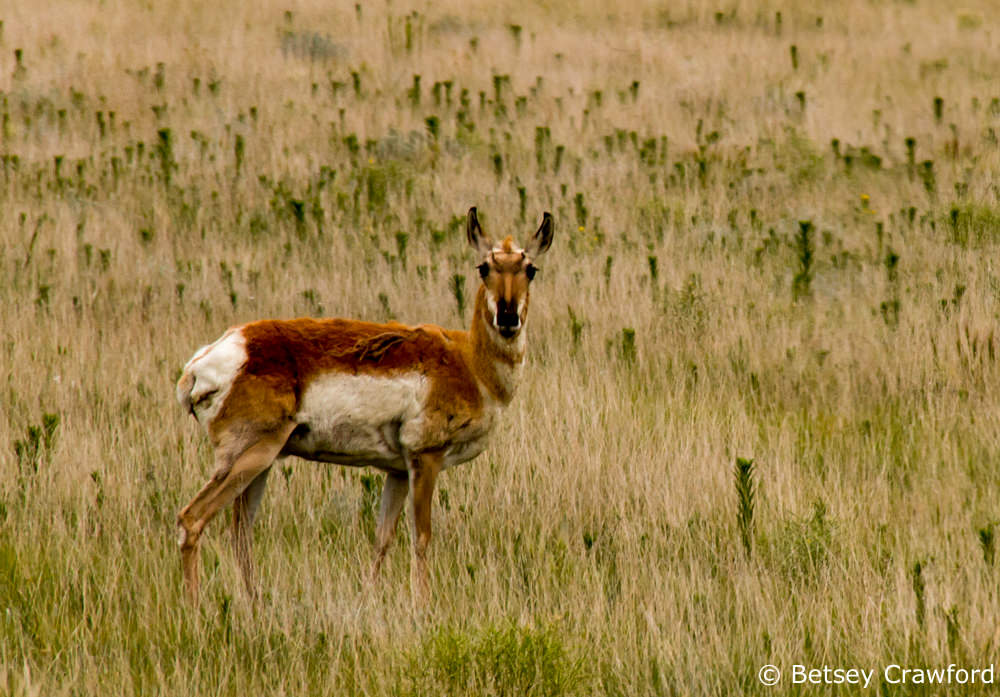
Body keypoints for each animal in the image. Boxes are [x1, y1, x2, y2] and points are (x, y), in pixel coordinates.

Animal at [176, 208, 552, 604]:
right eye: (484, 267)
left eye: (530, 269)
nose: (508, 318)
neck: (469, 361)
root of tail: (207, 361)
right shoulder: (426, 459)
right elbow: (422, 537)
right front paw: (423, 604)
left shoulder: (397, 471)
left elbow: (382, 539)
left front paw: (370, 596)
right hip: (249, 457)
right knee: (192, 519)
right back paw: (195, 606)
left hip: (260, 463)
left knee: (240, 533)